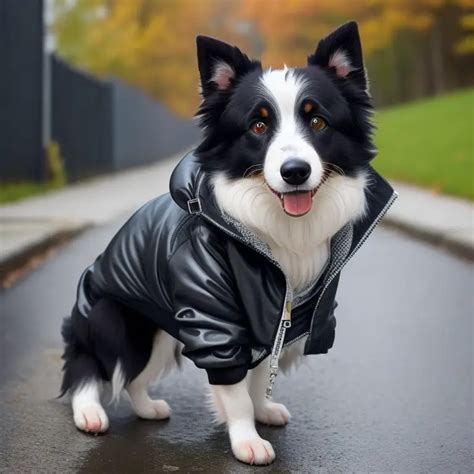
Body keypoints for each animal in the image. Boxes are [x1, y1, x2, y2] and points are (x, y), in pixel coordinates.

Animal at [63, 20, 396, 464]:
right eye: (258, 126)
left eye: (318, 122)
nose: (295, 171)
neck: (274, 230)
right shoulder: (214, 322)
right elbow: (235, 391)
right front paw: (246, 439)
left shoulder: (275, 323)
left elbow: (256, 378)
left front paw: (262, 411)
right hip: (114, 319)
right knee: (89, 362)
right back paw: (89, 412)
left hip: (161, 334)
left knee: (134, 377)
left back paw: (147, 407)